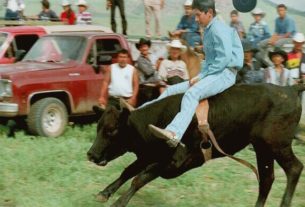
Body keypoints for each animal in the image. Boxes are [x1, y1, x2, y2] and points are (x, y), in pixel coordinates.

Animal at [86, 83, 302, 206]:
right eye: (98, 127)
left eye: (112, 130)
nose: (91, 154)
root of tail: (290, 89)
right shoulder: (148, 155)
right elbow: (128, 171)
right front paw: (104, 193)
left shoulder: (174, 161)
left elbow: (138, 179)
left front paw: (118, 203)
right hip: (262, 147)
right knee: (266, 178)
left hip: (277, 144)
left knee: (295, 168)